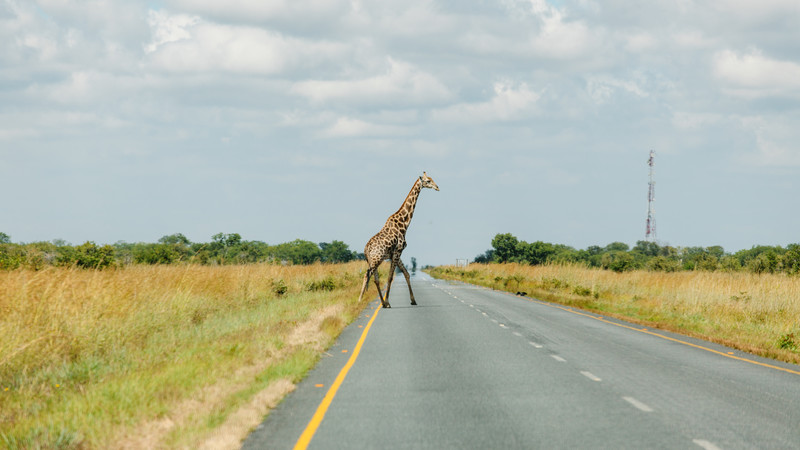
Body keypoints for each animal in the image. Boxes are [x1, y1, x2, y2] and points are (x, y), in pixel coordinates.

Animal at [360, 171, 440, 308]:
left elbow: (406, 274)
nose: (437, 187)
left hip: (374, 260)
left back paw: (381, 302)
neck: (404, 222)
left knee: (375, 278)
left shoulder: (395, 253)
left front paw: (413, 300)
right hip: (376, 259)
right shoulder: (398, 251)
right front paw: (388, 302)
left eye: (431, 179)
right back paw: (361, 300)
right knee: (367, 275)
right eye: (428, 181)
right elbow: (390, 277)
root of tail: (366, 249)